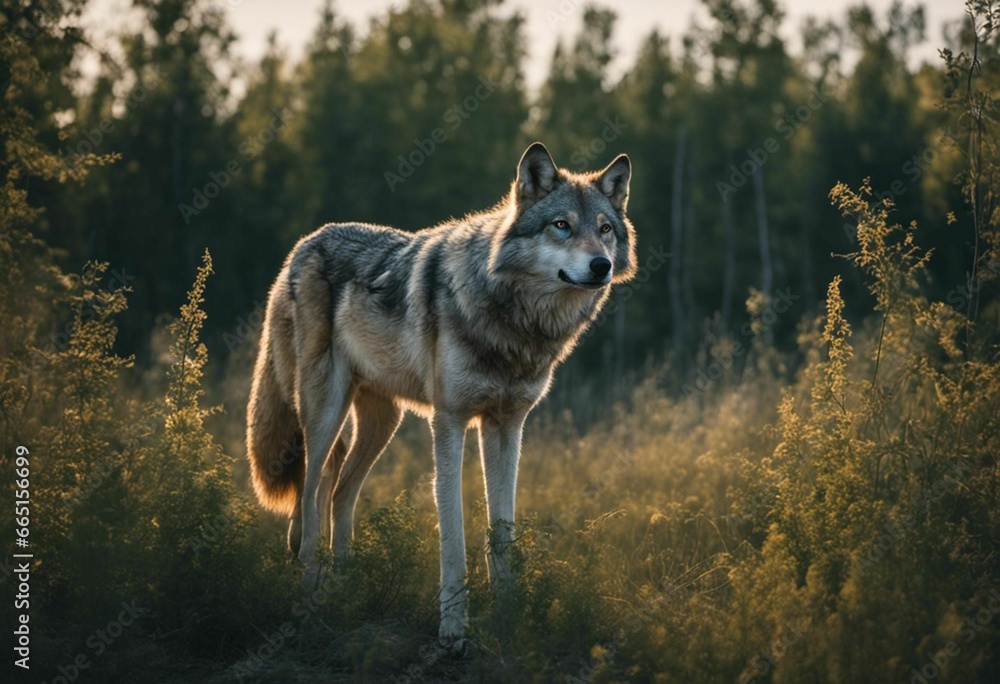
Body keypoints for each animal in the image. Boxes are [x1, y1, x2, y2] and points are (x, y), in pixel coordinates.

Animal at [246, 142, 636, 648]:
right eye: (562, 225)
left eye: (605, 229)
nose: (600, 266)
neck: (515, 325)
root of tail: (302, 245)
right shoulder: (449, 422)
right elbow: (453, 536)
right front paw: (452, 630)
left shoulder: (507, 426)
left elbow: (501, 532)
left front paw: (509, 619)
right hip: (324, 413)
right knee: (310, 501)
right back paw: (311, 597)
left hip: (382, 425)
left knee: (339, 493)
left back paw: (343, 586)